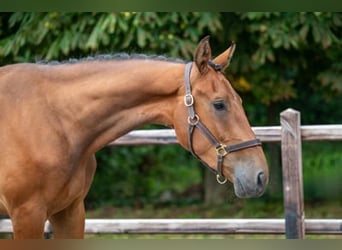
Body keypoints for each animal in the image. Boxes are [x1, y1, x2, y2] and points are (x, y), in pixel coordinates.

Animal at [0, 36, 268, 238]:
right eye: (219, 104)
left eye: (239, 101)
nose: (261, 176)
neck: (54, 119)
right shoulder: (28, 216)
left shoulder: (70, 211)